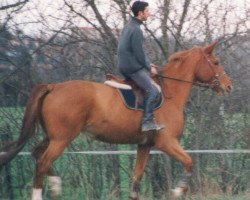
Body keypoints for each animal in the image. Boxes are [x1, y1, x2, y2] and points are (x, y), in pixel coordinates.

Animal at [0, 41, 231, 199]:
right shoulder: (166, 142)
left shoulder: (145, 146)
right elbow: (189, 162)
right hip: (61, 139)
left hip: (52, 137)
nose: (228, 86)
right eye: (216, 62)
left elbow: (136, 181)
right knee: (42, 162)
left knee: (36, 154)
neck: (169, 94)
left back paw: (56, 185)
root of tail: (53, 86)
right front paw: (177, 190)